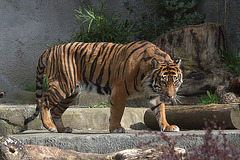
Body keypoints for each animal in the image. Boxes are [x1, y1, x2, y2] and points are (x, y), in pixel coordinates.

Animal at [23, 40, 182, 133]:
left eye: (175, 81)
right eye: (163, 82)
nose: (171, 96)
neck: (147, 81)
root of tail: (49, 49)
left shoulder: (155, 94)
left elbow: (160, 111)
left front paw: (167, 127)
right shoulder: (119, 90)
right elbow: (117, 111)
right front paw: (116, 128)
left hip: (71, 92)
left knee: (55, 110)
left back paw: (63, 129)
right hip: (62, 85)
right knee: (43, 102)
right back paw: (49, 126)